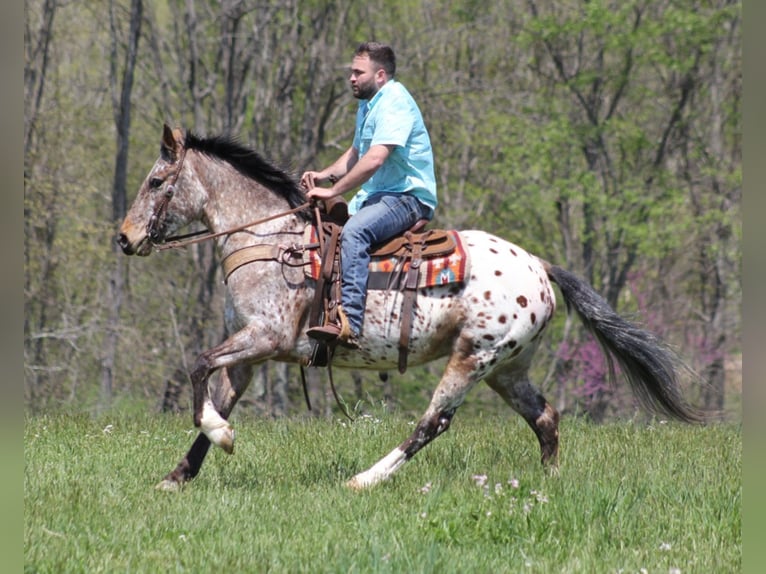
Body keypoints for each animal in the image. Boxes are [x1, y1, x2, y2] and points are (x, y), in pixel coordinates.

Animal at [115, 128, 708, 492]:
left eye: (156, 181)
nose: (124, 239)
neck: (274, 239)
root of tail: (540, 266)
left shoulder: (268, 337)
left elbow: (197, 368)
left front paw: (223, 438)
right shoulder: (250, 351)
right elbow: (215, 395)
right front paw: (178, 475)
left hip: (474, 358)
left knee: (432, 423)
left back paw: (365, 479)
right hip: (508, 368)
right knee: (545, 418)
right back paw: (548, 484)